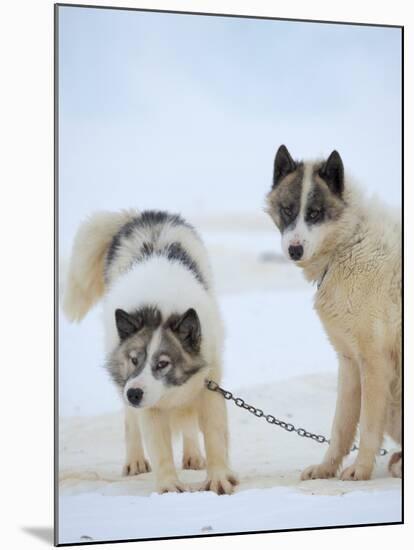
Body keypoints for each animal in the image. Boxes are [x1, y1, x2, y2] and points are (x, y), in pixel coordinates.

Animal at [63, 210, 238, 496]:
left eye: (163, 363)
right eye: (134, 360)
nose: (134, 394)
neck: (159, 309)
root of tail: (143, 215)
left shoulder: (209, 387)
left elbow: (214, 437)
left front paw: (219, 479)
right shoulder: (146, 403)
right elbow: (159, 447)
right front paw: (168, 488)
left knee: (189, 426)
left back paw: (192, 455)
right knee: (130, 423)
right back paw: (135, 461)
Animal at [266, 144, 402, 480]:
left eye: (315, 213)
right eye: (288, 209)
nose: (295, 250)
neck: (349, 243)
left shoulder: (375, 362)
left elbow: (367, 425)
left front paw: (361, 470)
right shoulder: (350, 362)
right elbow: (341, 427)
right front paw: (326, 468)